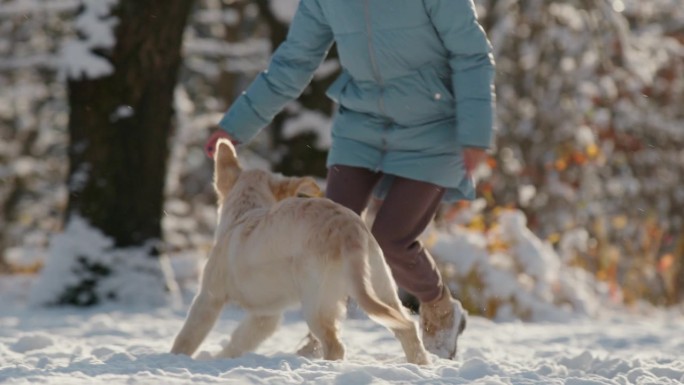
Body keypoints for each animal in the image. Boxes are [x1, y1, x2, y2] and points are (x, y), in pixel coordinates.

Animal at [171, 139, 428, 364]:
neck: (245, 211)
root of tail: (347, 228)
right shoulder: (266, 316)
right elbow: (240, 339)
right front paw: (221, 358)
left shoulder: (209, 297)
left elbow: (187, 337)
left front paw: (175, 358)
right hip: (382, 288)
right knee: (408, 328)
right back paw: (420, 365)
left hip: (316, 302)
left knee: (335, 345)